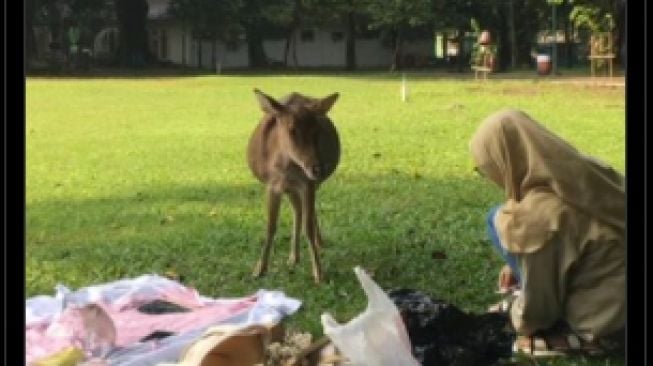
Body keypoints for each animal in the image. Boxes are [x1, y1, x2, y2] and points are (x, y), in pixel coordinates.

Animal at [246, 88, 342, 284]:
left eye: (317, 130)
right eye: (292, 130)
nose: (318, 168)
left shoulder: (307, 184)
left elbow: (308, 227)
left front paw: (319, 274)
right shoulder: (272, 186)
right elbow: (270, 226)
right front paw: (259, 270)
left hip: (303, 187)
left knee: (304, 212)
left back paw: (318, 244)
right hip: (290, 189)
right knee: (298, 210)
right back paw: (294, 257)